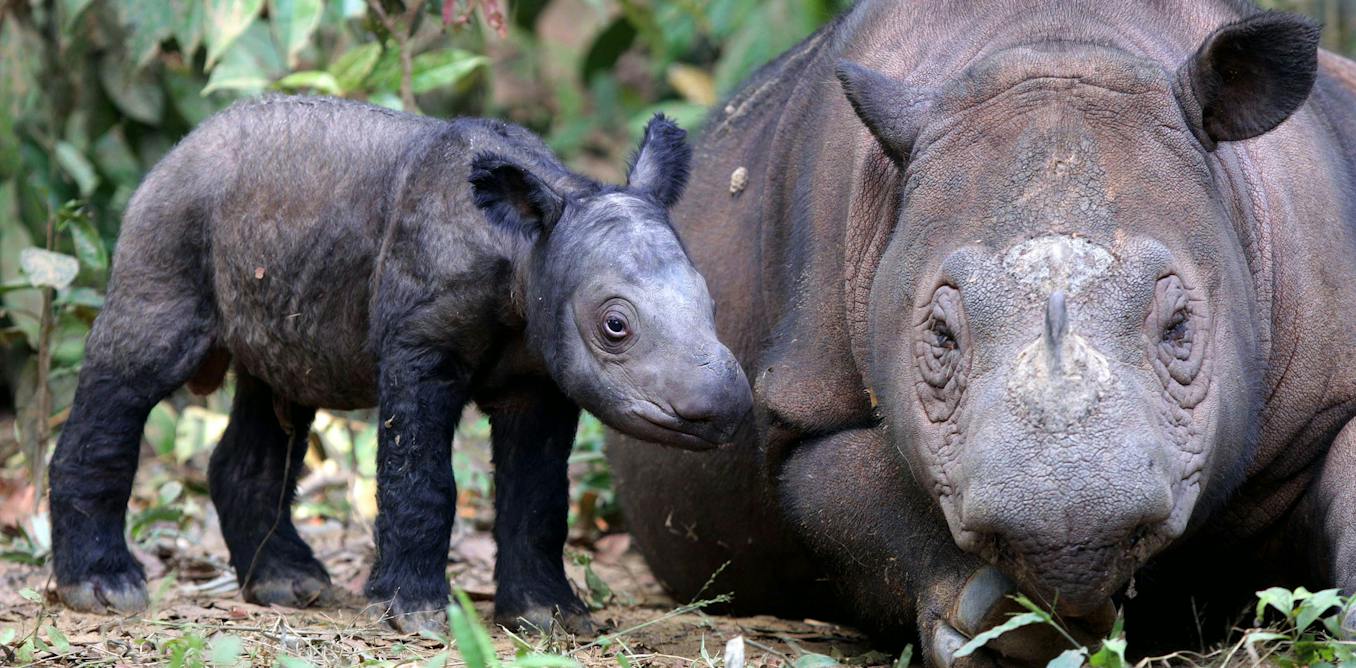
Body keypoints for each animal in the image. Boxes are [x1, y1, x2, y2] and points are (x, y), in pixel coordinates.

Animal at [609, 0, 1356, 662]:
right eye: (941, 336)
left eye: (1178, 327)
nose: (1069, 531)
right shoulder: (805, 401)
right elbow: (850, 490)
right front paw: (1008, 627)